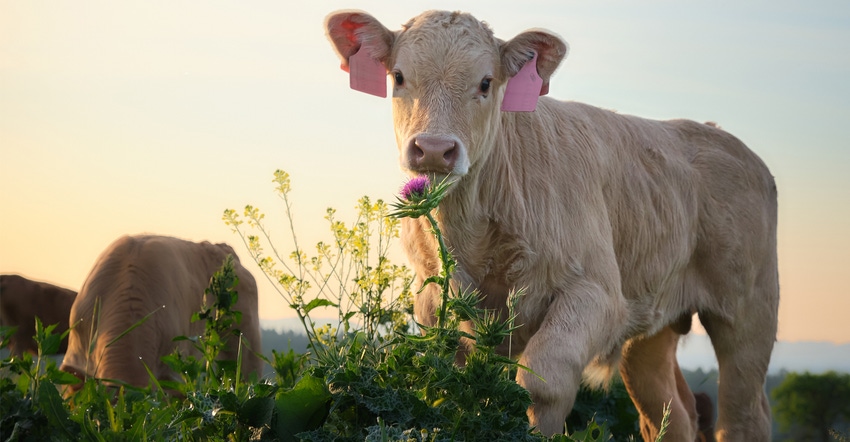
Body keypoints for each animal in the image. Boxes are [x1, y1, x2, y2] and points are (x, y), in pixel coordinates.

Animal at [328, 10, 780, 442]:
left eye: (486, 82)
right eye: (399, 77)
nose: (435, 149)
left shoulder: (598, 293)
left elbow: (540, 382)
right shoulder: (434, 297)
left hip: (749, 312)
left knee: (743, 416)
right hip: (652, 326)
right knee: (672, 416)